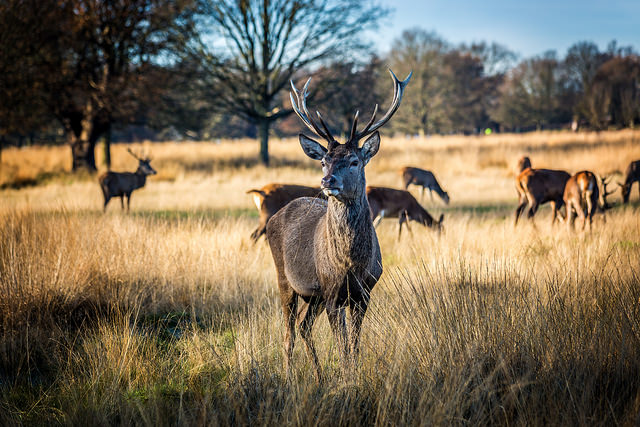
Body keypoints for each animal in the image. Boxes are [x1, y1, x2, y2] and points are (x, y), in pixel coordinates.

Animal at [264, 70, 410, 382]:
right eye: (323, 161)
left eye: (354, 161)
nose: (327, 180)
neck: (351, 263)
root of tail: (273, 217)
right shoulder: (332, 291)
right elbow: (342, 346)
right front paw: (346, 381)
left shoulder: (363, 293)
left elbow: (354, 345)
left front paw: (353, 377)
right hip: (285, 278)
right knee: (289, 332)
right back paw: (288, 377)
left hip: (314, 296)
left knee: (304, 326)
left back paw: (319, 377)